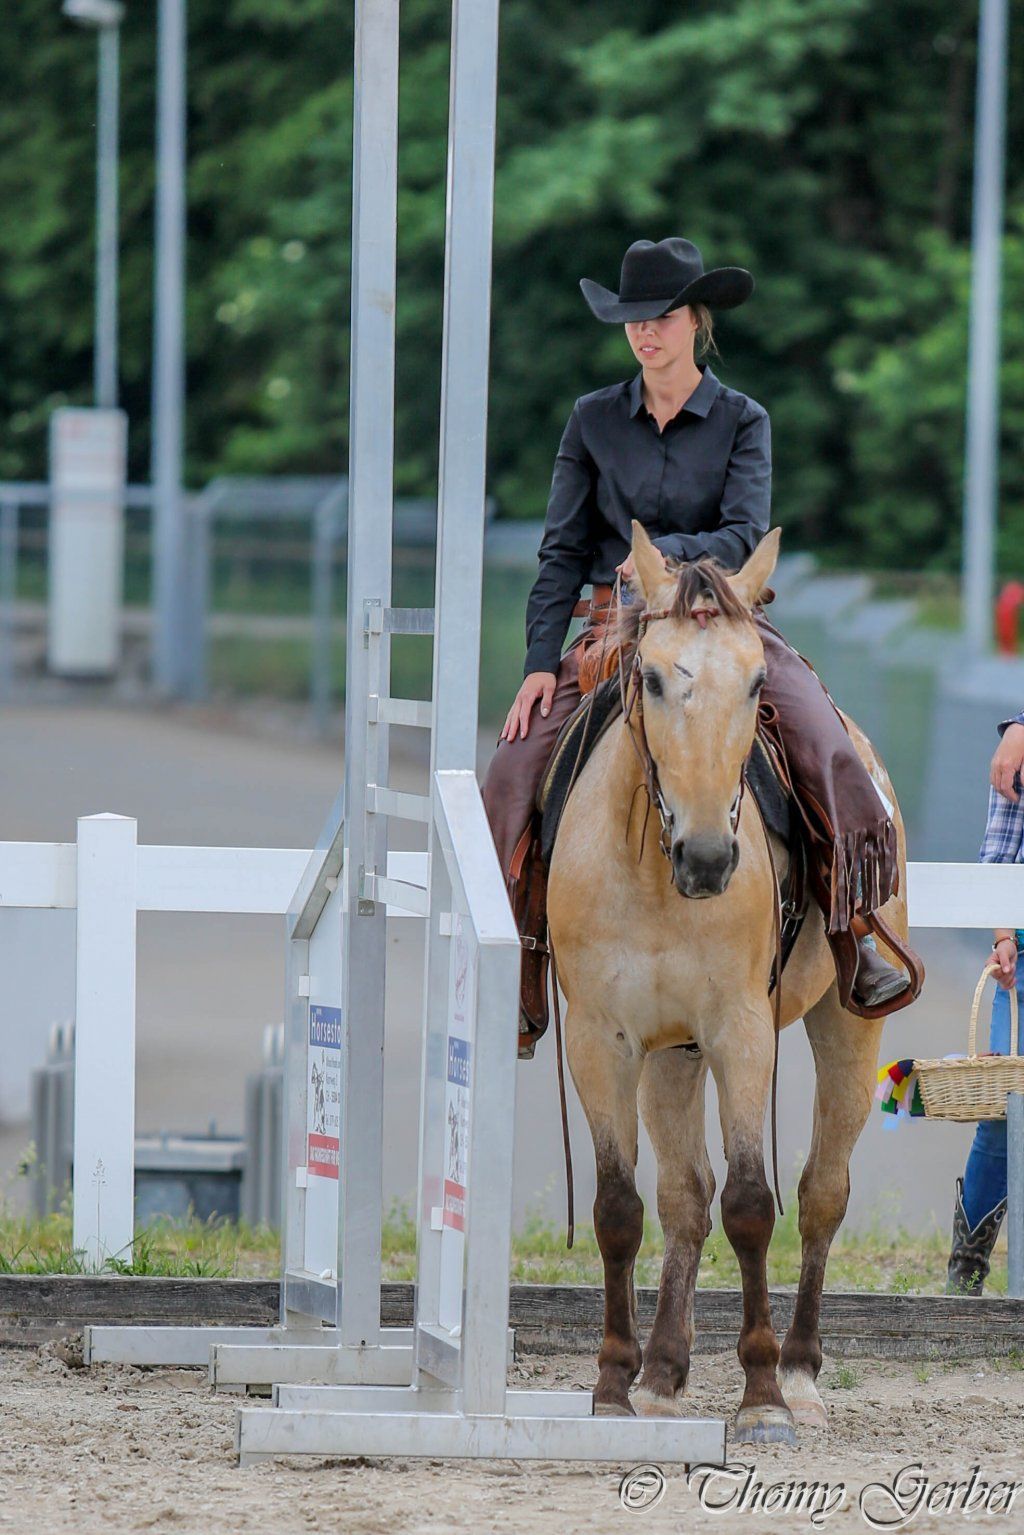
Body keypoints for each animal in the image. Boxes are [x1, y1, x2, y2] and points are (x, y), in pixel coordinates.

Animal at [547, 521, 910, 1445]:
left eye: (755, 681)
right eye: (650, 676)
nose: (710, 857)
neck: (652, 869)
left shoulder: (741, 1029)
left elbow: (754, 1201)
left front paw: (762, 1397)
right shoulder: (603, 1039)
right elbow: (620, 1207)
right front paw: (613, 1386)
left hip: (845, 1026)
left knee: (820, 1192)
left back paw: (802, 1373)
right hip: (672, 1055)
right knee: (685, 1197)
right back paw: (662, 1376)